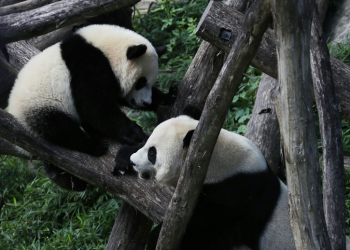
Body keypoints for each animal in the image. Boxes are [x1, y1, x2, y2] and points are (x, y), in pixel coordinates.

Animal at [8, 23, 176, 191]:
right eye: (141, 82)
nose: (145, 102)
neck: (105, 49)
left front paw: (166, 97)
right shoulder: (86, 66)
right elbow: (95, 106)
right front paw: (135, 133)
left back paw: (68, 180)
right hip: (41, 107)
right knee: (60, 128)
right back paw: (94, 146)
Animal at [128, 108, 296, 250]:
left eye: (152, 153)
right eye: (148, 145)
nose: (133, 161)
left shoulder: (236, 194)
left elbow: (208, 229)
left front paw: (154, 238)